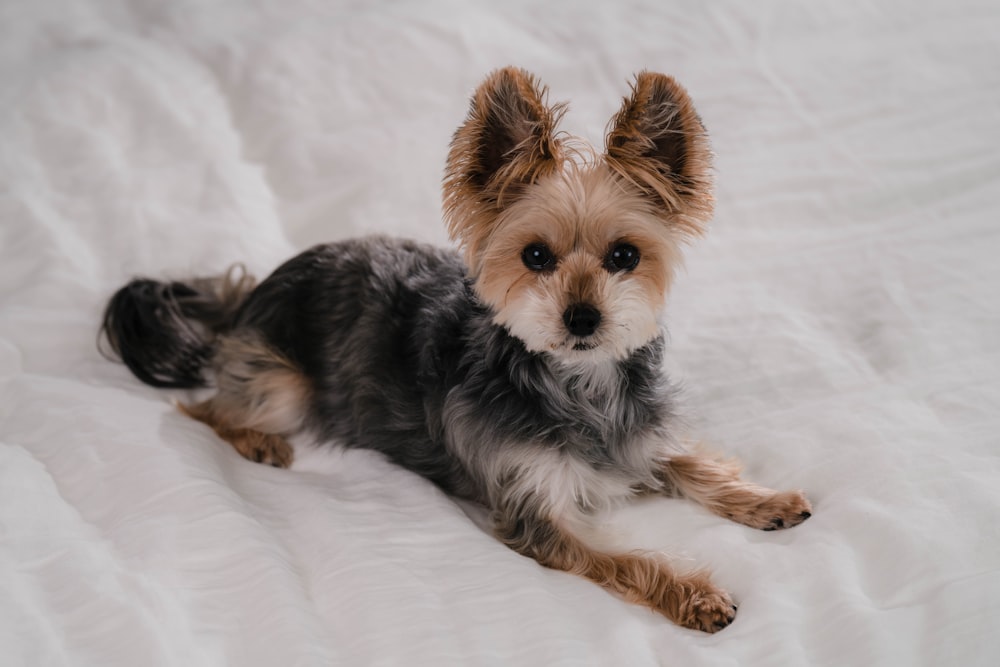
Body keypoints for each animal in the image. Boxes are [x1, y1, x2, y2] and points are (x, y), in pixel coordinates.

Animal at [99, 66, 812, 632]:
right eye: (535, 256)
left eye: (625, 257)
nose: (583, 317)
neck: (581, 384)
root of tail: (255, 287)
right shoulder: (535, 514)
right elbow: (628, 559)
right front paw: (695, 595)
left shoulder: (640, 438)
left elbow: (696, 465)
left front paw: (767, 501)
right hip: (283, 384)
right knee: (205, 409)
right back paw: (258, 440)